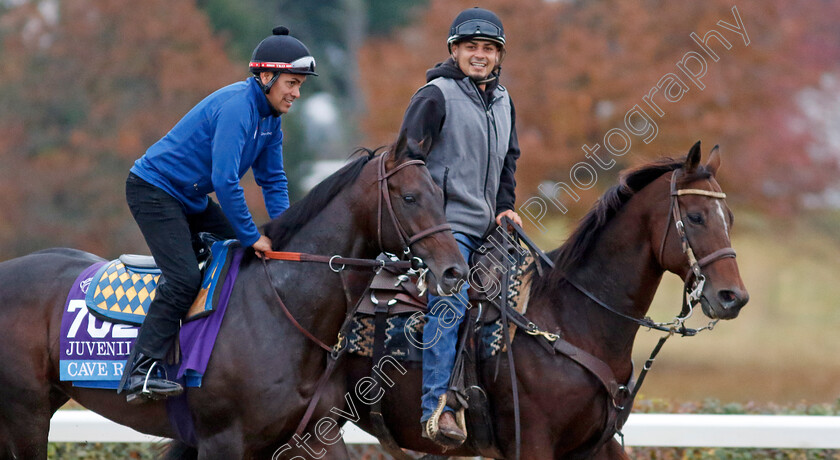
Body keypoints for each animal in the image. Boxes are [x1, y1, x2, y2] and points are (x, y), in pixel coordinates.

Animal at [0, 135, 470, 458]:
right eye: (409, 197)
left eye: (440, 194)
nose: (455, 271)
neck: (280, 309)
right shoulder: (221, 440)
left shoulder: (315, 433)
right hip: (26, 413)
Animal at [338, 142, 752, 458]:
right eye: (695, 217)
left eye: (729, 217)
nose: (733, 297)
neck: (571, 319)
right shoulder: (534, 443)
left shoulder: (597, 444)